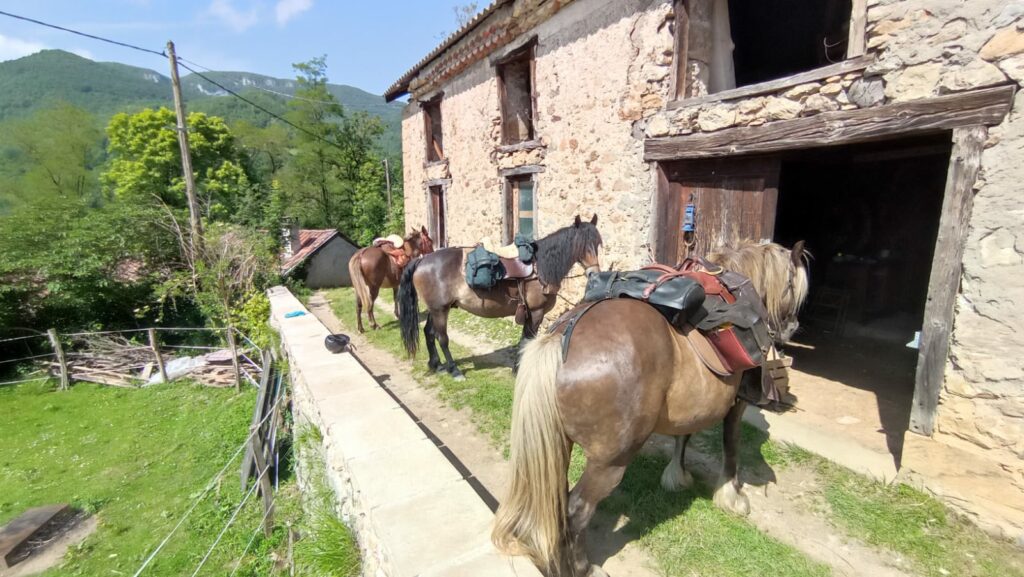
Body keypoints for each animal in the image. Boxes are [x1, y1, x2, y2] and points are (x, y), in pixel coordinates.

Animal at [397, 215, 606, 379]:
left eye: (597, 244)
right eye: (581, 245)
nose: (594, 274)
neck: (541, 267)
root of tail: (422, 260)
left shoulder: (529, 313)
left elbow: (524, 339)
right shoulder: (536, 312)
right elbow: (527, 340)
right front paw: (518, 370)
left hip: (436, 308)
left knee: (429, 332)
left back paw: (436, 365)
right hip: (440, 310)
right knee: (442, 338)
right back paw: (454, 370)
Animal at [491, 240, 811, 577]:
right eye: (794, 286)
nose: (792, 328)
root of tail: (561, 336)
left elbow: (684, 435)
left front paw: (676, 476)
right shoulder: (736, 404)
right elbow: (731, 446)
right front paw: (731, 496)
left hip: (559, 446)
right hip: (609, 462)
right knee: (577, 509)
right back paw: (583, 567)